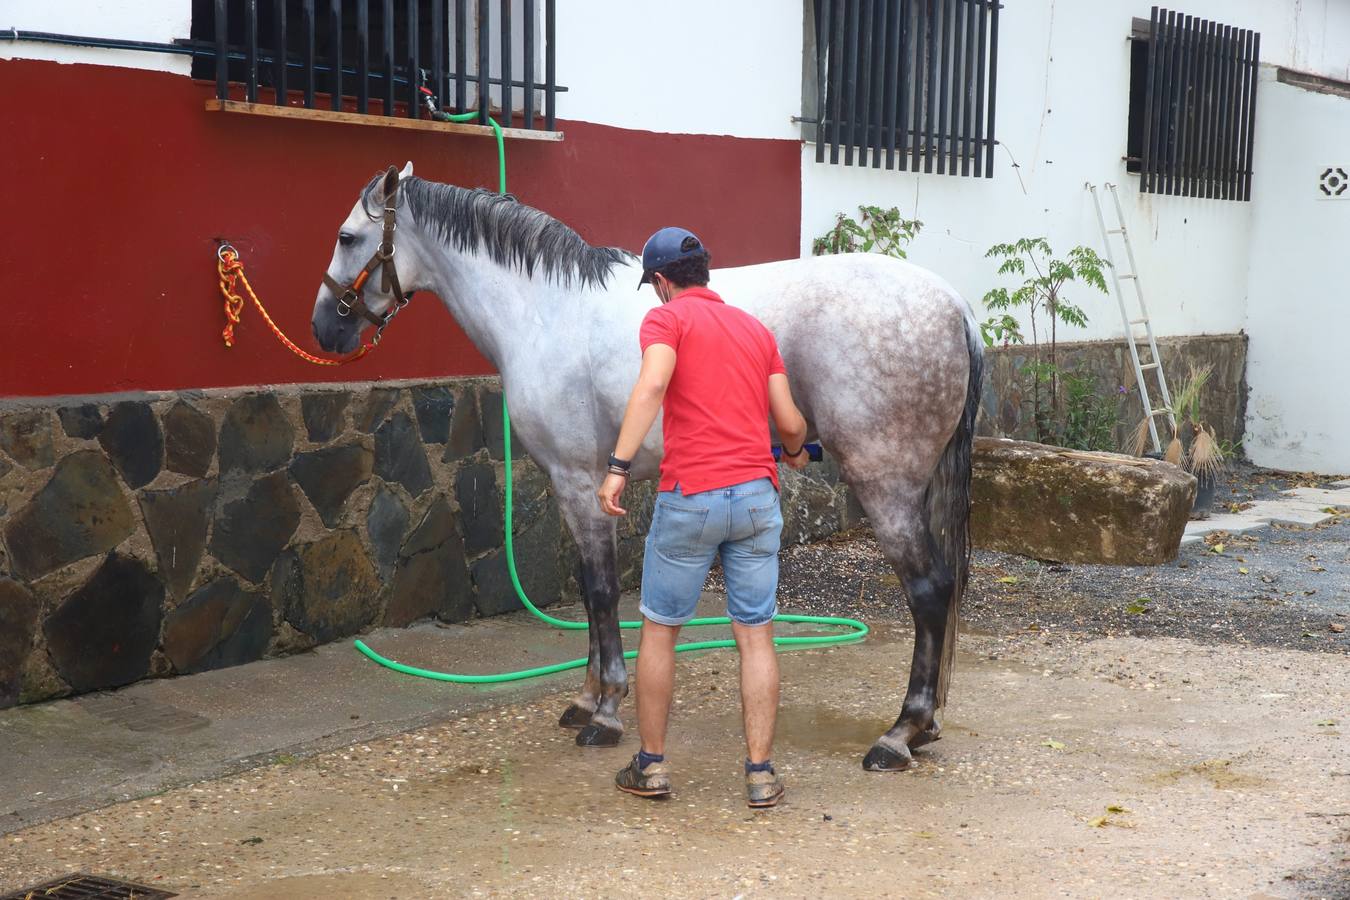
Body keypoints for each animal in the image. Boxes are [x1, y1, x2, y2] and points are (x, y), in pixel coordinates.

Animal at [317, 165, 993, 771]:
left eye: (348, 237)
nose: (325, 328)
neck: (544, 310)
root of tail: (954, 304)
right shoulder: (578, 487)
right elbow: (589, 592)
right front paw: (586, 700)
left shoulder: (578, 481)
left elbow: (598, 591)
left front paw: (606, 711)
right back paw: (921, 728)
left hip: (885, 486)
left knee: (930, 591)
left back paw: (901, 734)